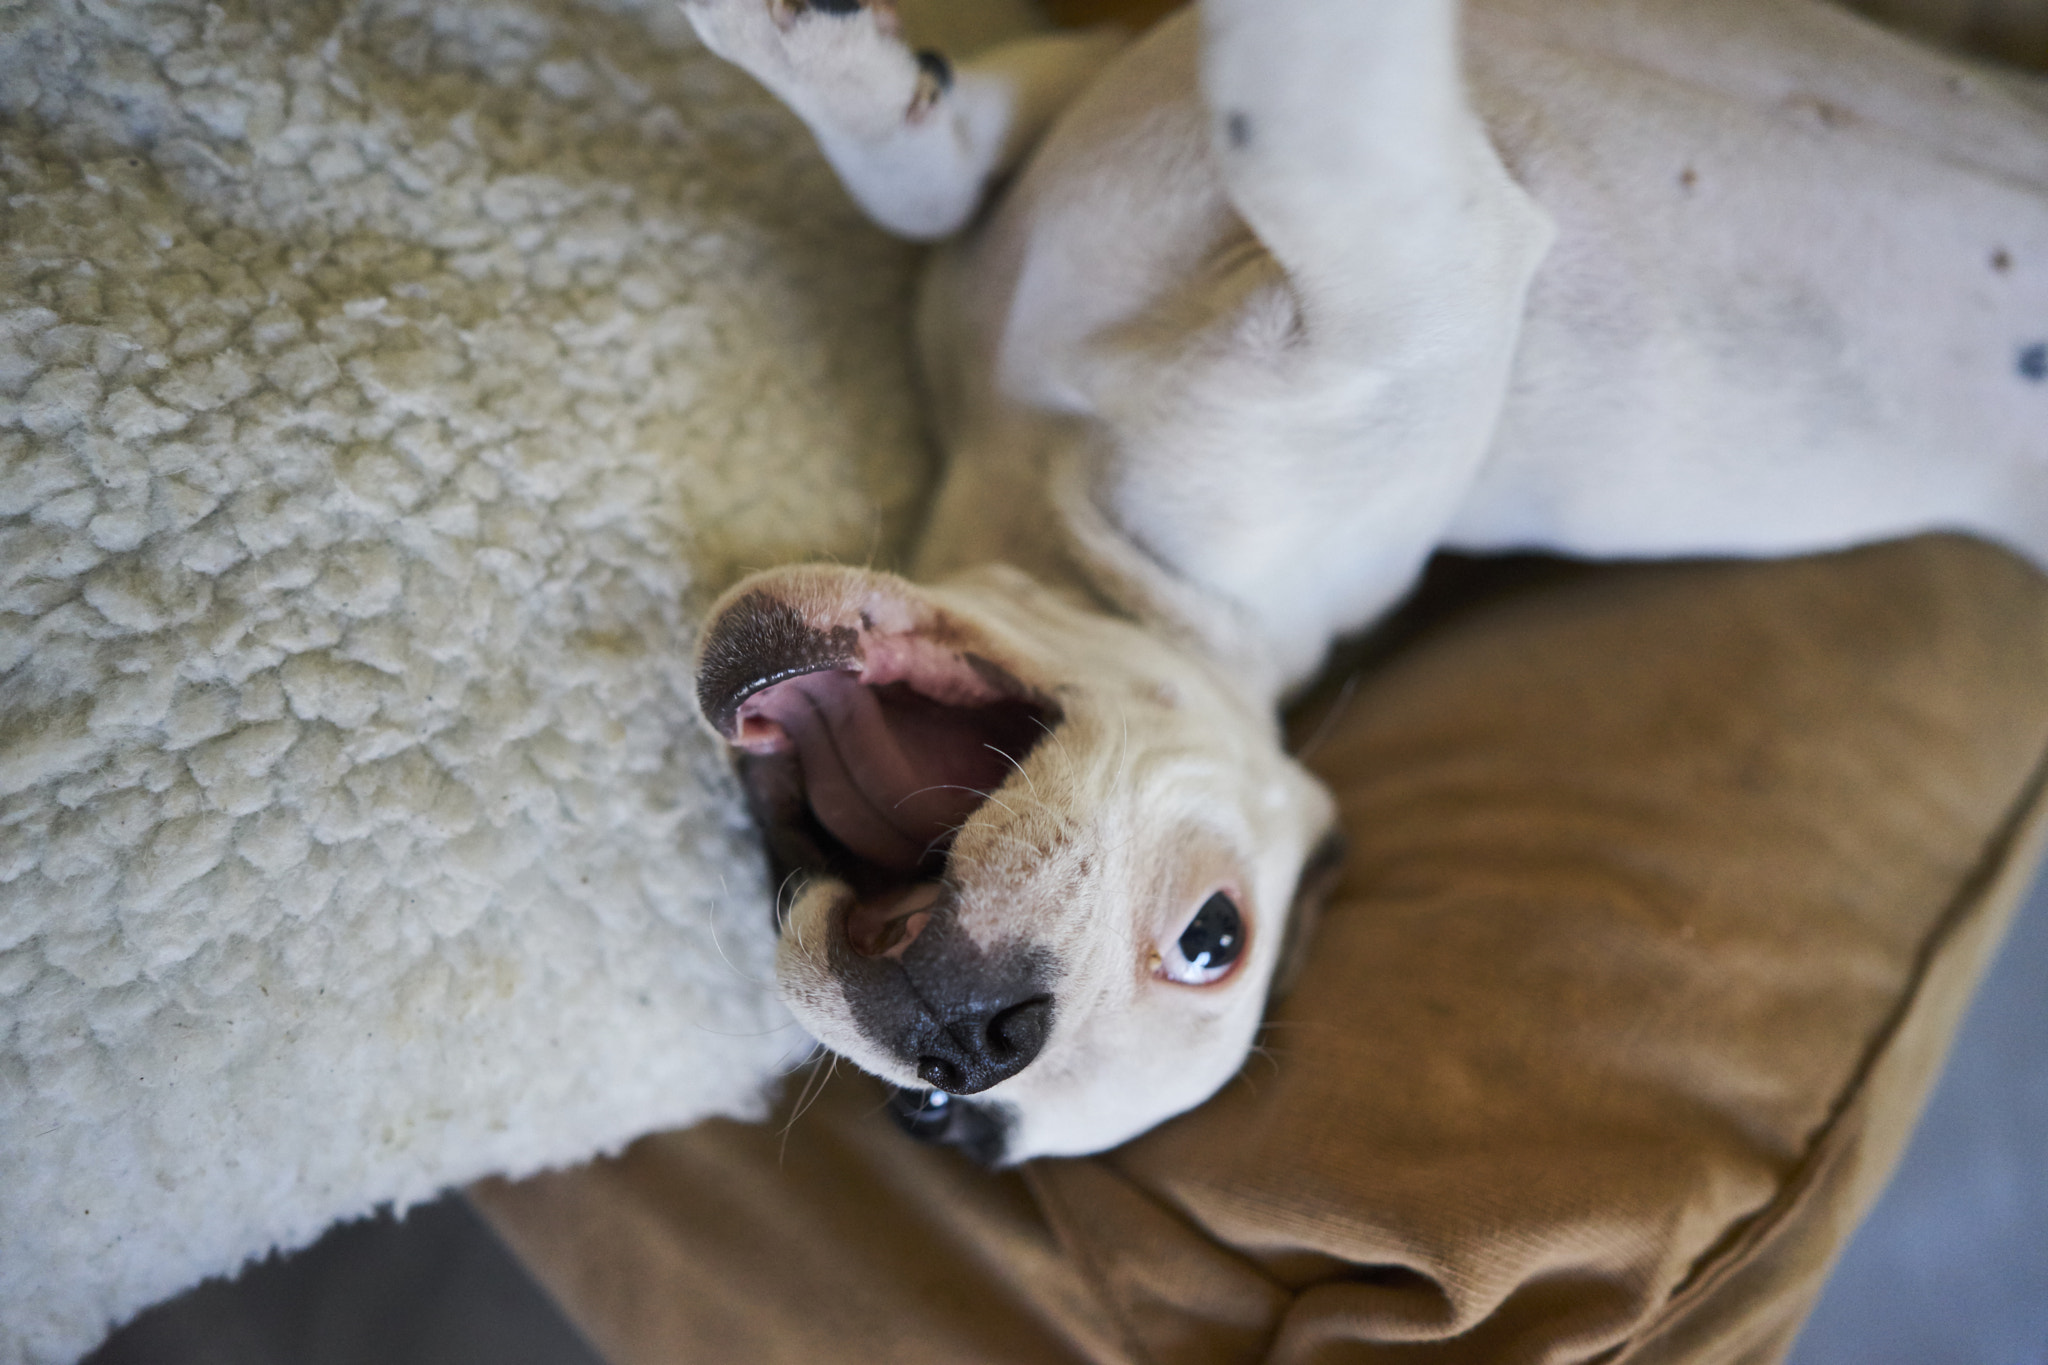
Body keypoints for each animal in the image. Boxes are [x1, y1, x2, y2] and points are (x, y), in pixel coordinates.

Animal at [679, 0, 2039, 1162]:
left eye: (1210, 939)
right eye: (924, 1116)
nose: (970, 1041)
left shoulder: (1422, 266)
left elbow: (1285, 108)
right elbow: (930, 174)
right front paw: (842, 63)